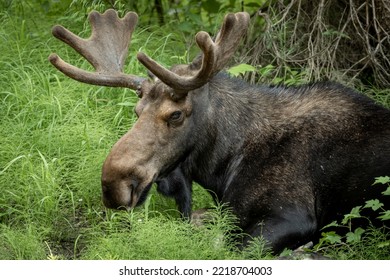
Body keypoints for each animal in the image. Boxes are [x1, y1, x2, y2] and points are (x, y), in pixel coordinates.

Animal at [48, 9, 390, 254]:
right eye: (137, 111)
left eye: (175, 114)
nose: (113, 185)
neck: (222, 166)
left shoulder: (292, 216)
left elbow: (221, 245)